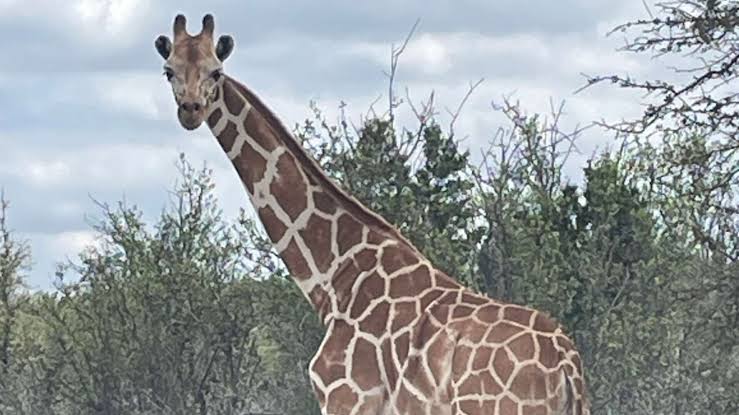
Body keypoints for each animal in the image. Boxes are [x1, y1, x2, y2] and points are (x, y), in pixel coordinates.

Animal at [154, 14, 591, 415]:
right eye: (169, 70)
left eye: (216, 71)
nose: (191, 109)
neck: (333, 278)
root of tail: (567, 364)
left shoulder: (345, 398)